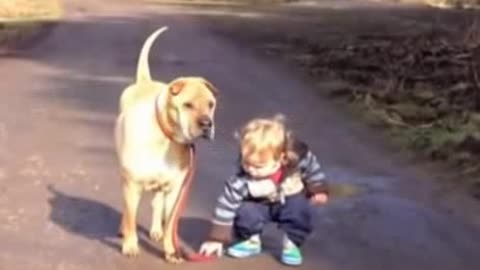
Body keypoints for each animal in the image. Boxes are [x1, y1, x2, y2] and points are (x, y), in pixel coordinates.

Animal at [113, 27, 218, 264]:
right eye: (188, 105)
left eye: (211, 104)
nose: (206, 124)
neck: (166, 138)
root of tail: (145, 82)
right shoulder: (132, 184)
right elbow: (131, 217)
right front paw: (130, 245)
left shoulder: (174, 189)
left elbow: (170, 223)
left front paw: (171, 251)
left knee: (156, 204)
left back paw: (156, 230)